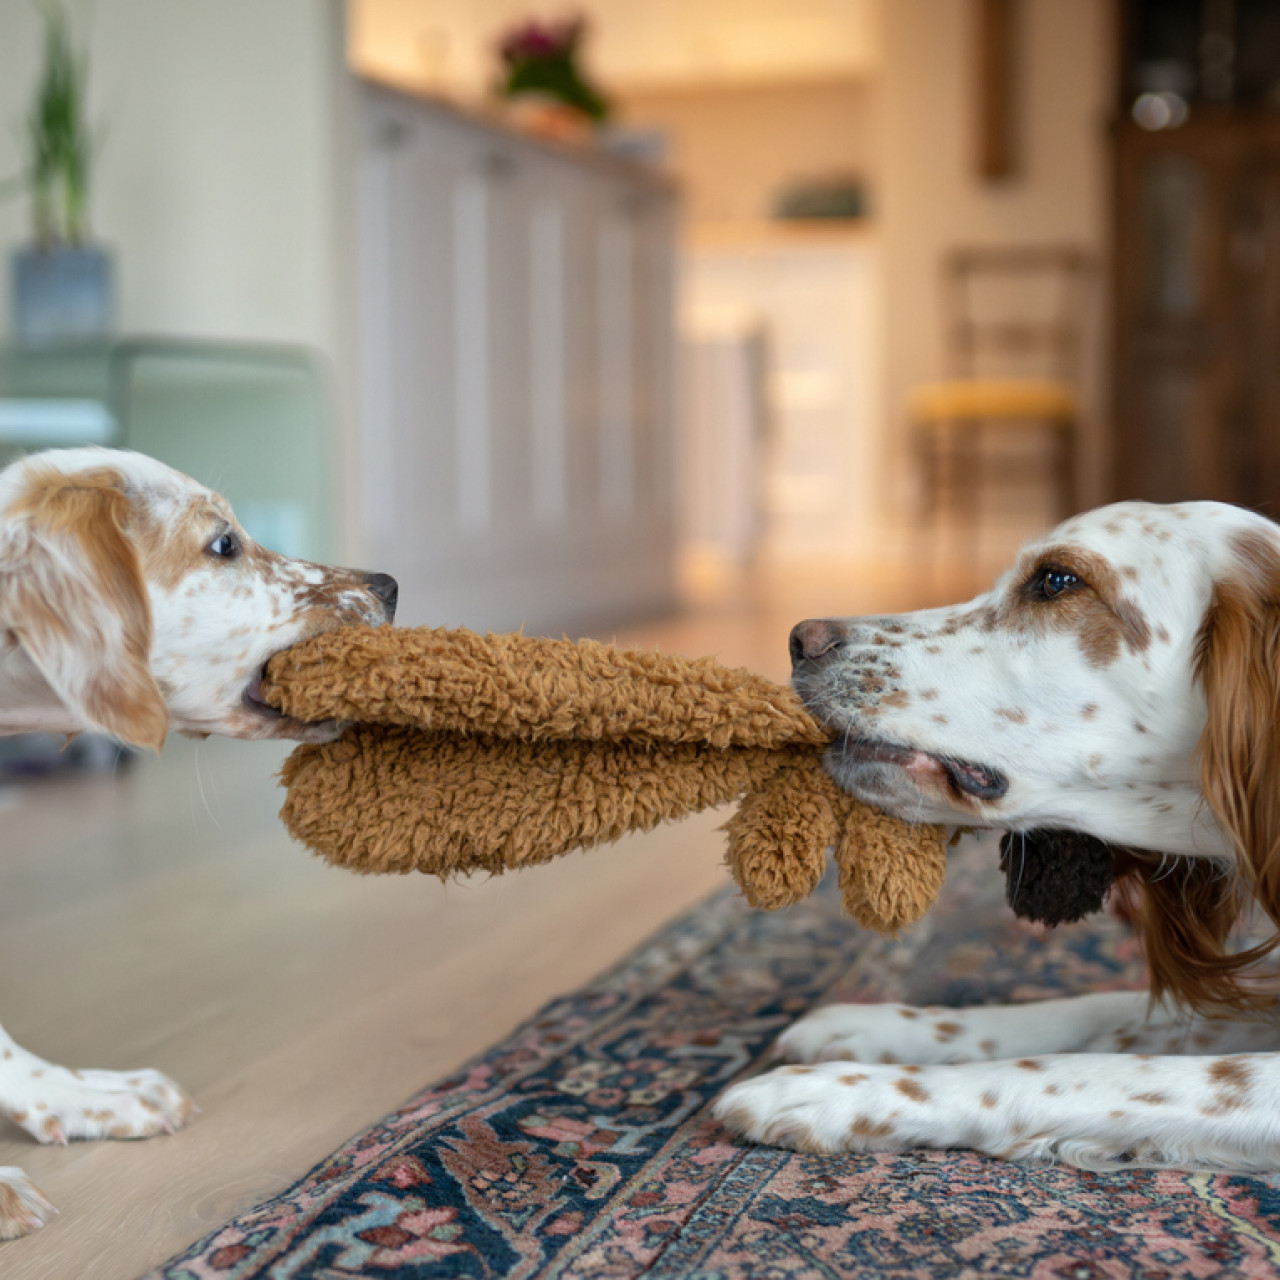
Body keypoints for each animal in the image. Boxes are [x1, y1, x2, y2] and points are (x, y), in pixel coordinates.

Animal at [716, 496, 1280, 1172]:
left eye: (1057, 581)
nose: (801, 639)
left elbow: (1087, 1071)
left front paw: (842, 1092)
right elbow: (1102, 1010)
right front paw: (879, 1028)